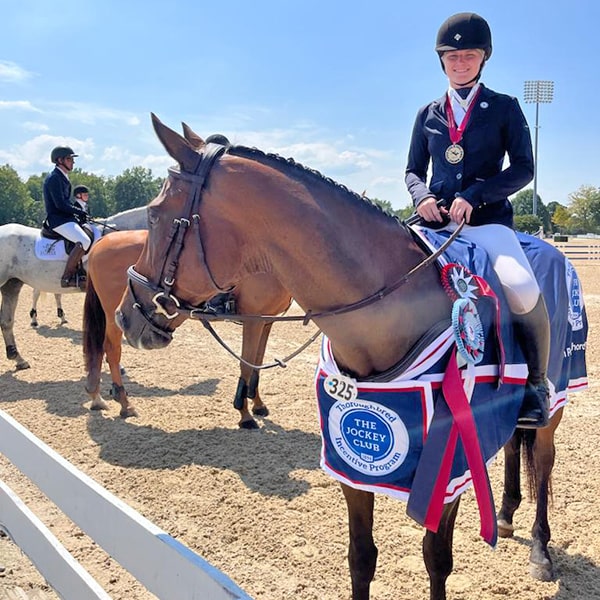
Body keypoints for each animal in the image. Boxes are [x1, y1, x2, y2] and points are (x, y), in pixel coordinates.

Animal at [82, 230, 292, 426]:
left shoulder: (265, 321)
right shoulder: (253, 322)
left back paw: (97, 397)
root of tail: (103, 240)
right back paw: (124, 403)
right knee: (112, 350)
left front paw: (258, 404)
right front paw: (245, 415)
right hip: (116, 317)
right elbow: (247, 365)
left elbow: (257, 363)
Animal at [113, 115, 584, 596]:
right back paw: (505, 516)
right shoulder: (353, 465)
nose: (125, 316)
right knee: (511, 445)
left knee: (542, 460)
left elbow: (436, 560)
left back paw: (540, 551)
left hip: (554, 405)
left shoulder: (446, 471)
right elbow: (361, 558)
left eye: (154, 215)